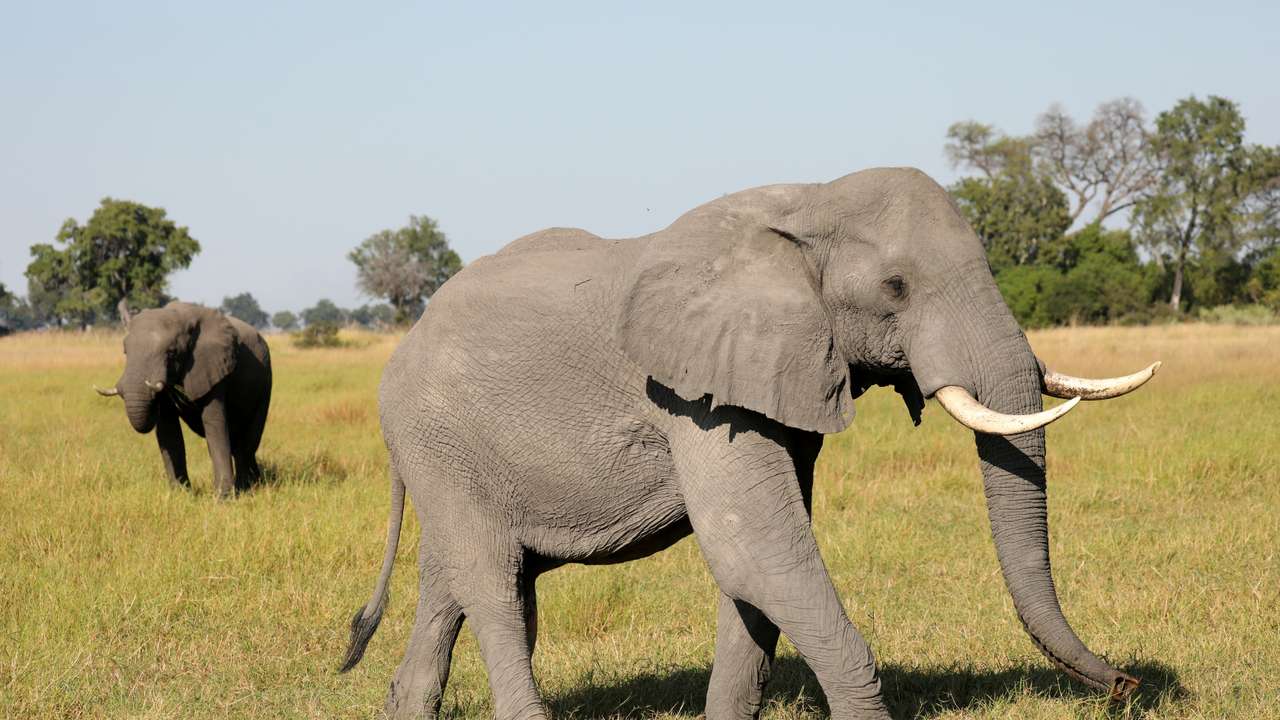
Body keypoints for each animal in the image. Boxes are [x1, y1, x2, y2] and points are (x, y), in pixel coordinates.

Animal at [95, 301, 272, 498]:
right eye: (125, 352)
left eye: (171, 353)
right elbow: (168, 431)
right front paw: (180, 495)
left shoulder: (213, 366)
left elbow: (215, 426)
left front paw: (223, 498)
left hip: (265, 384)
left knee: (247, 443)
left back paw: (248, 488)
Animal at [338, 168, 1159, 719]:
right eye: (895, 288)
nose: (1128, 685)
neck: (809, 201)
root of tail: (405, 341)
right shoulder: (691, 395)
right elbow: (755, 550)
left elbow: (758, 572)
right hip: (435, 436)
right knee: (494, 586)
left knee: (457, 581)